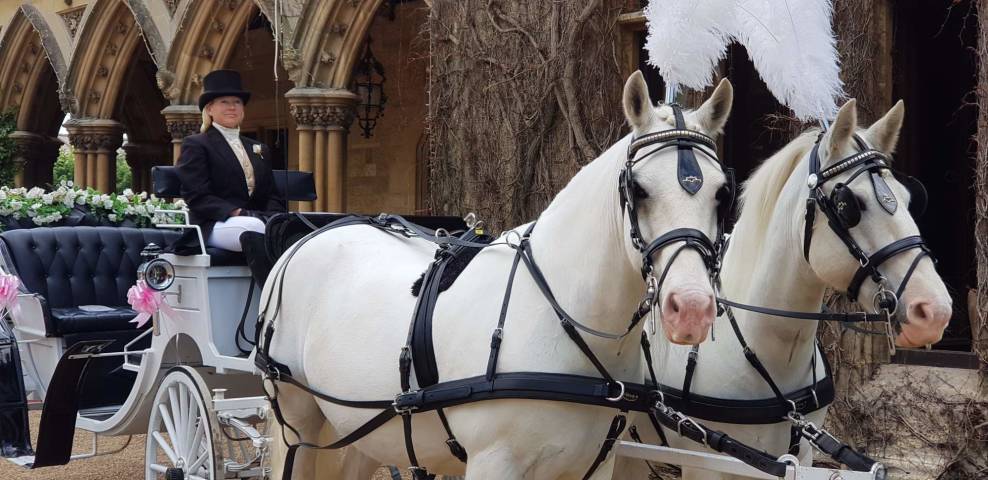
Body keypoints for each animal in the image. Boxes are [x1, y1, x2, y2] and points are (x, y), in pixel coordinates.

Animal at [258, 70, 736, 480]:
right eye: (638, 189)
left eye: (721, 194)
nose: (691, 309)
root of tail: (313, 233)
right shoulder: (494, 462)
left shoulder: (595, 465)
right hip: (297, 423)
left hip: (362, 429)